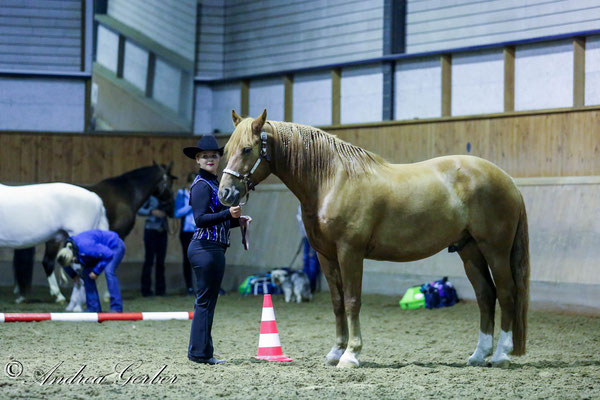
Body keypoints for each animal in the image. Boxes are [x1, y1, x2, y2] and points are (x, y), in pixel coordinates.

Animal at [218, 109, 528, 368]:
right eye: (226, 150)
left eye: (247, 149)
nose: (225, 194)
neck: (332, 181)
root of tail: (507, 180)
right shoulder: (325, 255)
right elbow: (337, 302)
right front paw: (336, 352)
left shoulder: (350, 252)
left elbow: (352, 300)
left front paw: (351, 355)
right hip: (469, 250)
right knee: (486, 294)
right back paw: (478, 355)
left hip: (495, 250)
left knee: (506, 292)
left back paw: (501, 355)